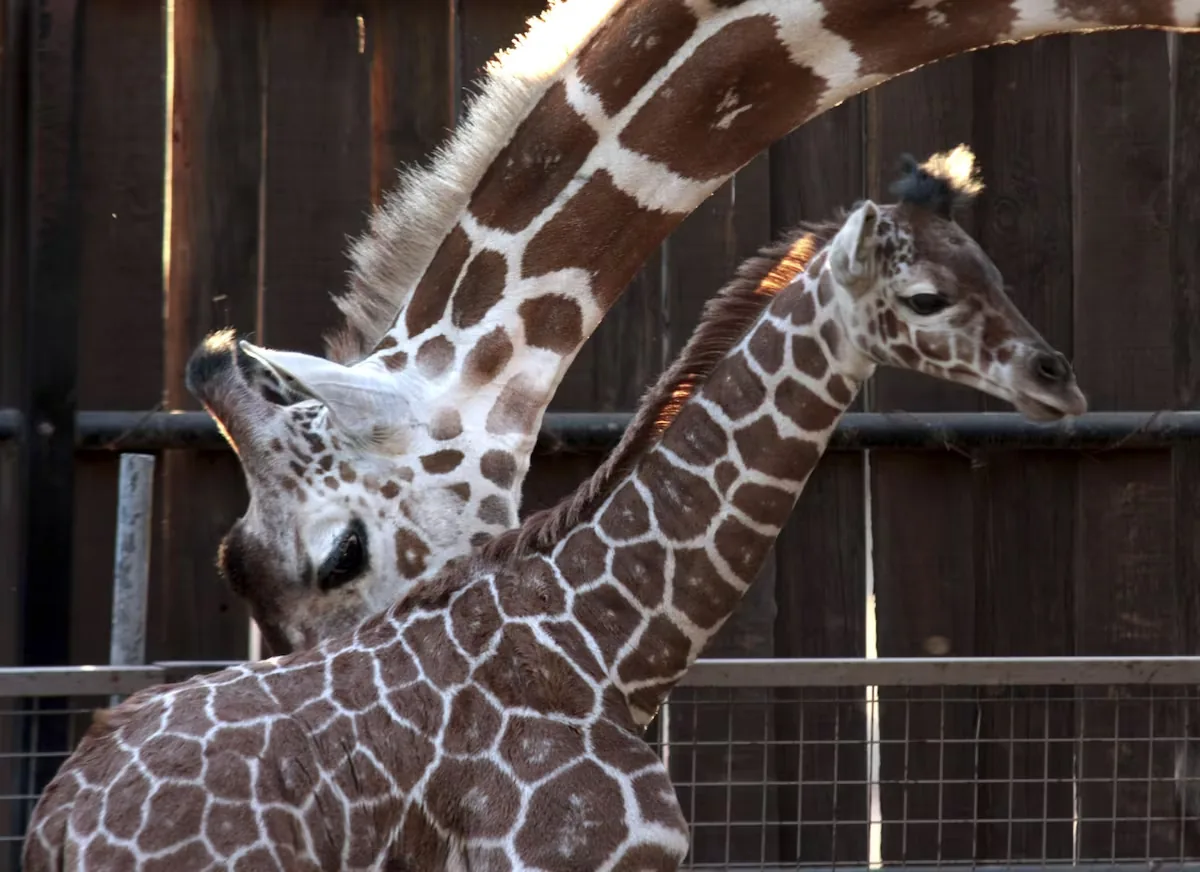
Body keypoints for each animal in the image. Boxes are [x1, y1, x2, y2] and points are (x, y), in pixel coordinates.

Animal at [26, 148, 1088, 871]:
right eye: (925, 297)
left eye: (995, 272)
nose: (1059, 381)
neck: (611, 647)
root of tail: (57, 821)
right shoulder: (556, 857)